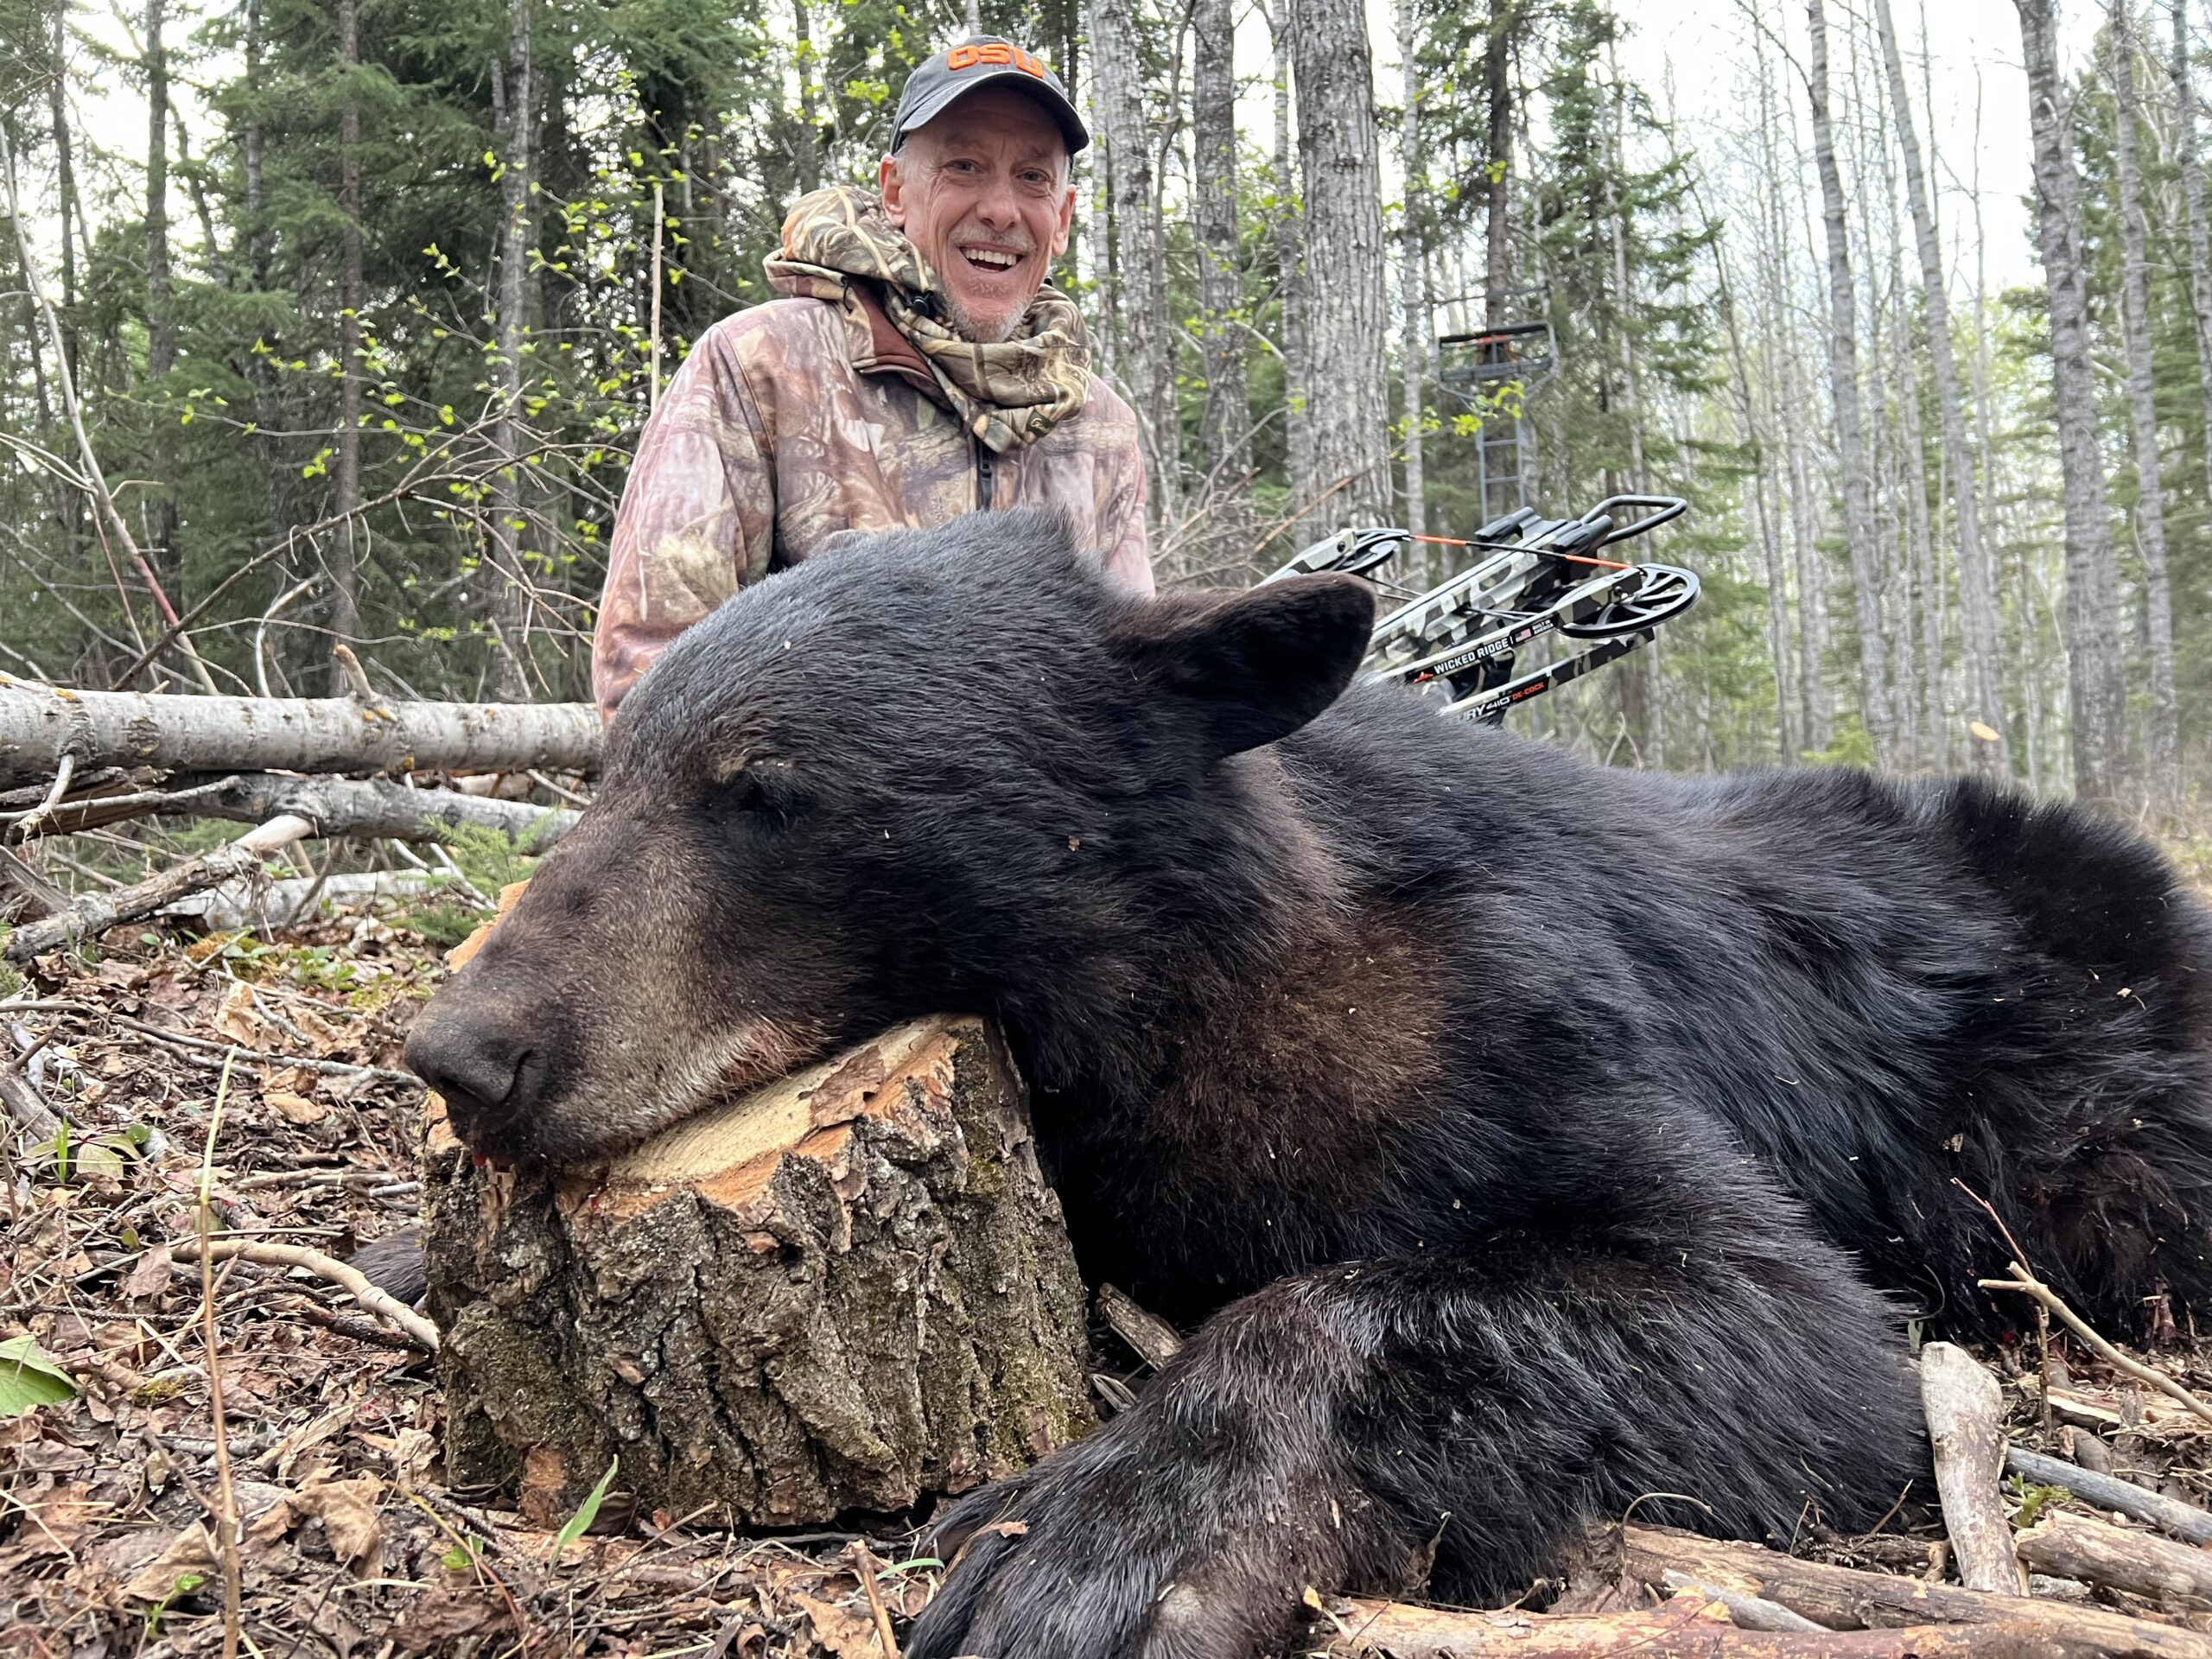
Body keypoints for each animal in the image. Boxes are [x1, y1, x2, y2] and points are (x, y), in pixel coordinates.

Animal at [404, 506, 2212, 1659]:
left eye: (764, 792)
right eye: (610, 768)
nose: (461, 1049)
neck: (1144, 995)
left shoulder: (1492, 1029)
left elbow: (1772, 1319)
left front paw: (1104, 1543)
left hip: (2079, 1104)